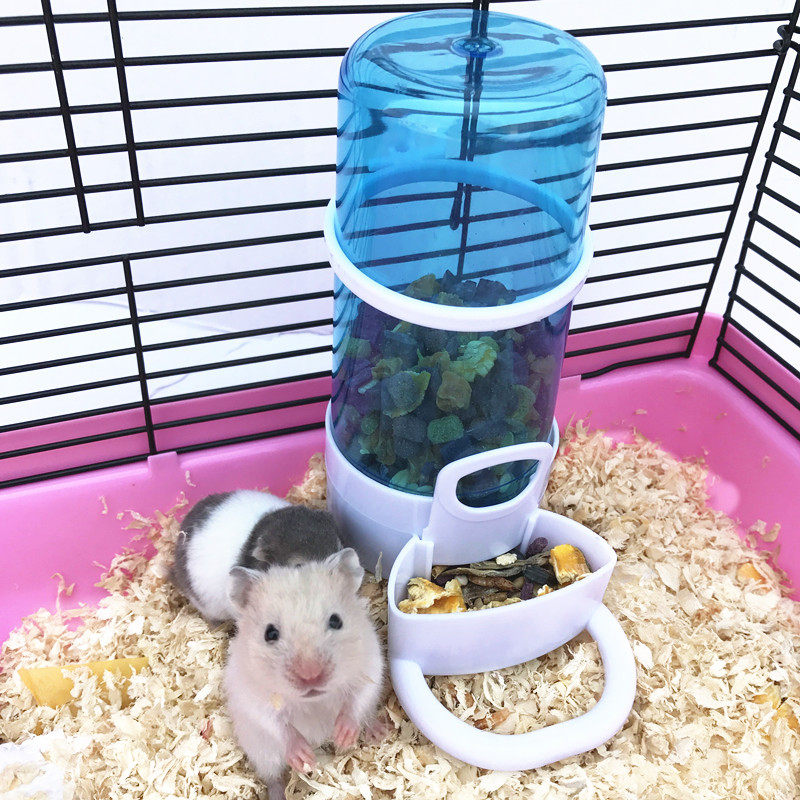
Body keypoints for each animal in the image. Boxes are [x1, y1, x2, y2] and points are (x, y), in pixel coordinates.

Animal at [223, 549, 385, 799]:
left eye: (336, 621)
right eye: (270, 633)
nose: (311, 676)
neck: (313, 701)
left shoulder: (370, 668)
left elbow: (356, 701)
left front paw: (343, 735)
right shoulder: (253, 700)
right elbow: (278, 726)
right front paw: (304, 757)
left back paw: (379, 732)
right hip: (262, 752)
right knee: (273, 777)